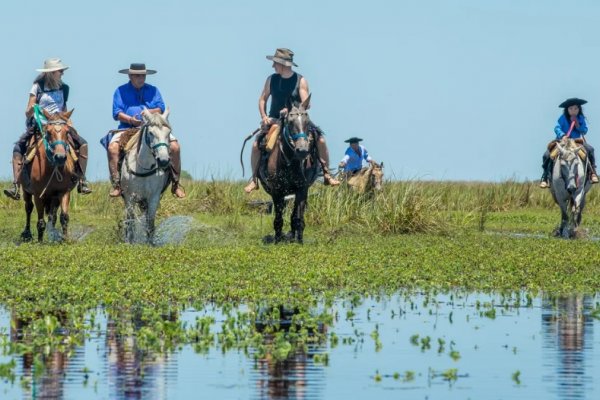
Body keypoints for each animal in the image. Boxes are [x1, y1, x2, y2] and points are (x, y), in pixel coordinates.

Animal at [19, 108, 78, 242]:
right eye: (49, 132)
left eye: (67, 132)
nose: (60, 157)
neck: (52, 168)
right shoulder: (38, 195)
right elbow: (41, 221)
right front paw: (40, 241)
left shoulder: (64, 192)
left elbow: (64, 217)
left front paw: (65, 239)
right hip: (26, 191)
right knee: (28, 208)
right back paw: (27, 234)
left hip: (53, 197)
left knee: (53, 216)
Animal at [119, 108, 171, 244]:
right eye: (151, 133)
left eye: (169, 133)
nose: (163, 161)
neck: (143, 167)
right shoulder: (129, 197)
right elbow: (131, 221)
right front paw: (129, 242)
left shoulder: (154, 197)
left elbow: (150, 223)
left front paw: (150, 244)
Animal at [255, 95, 318, 244]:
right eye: (290, 122)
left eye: (307, 122)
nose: (302, 150)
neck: (291, 162)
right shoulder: (277, 191)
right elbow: (278, 219)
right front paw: (277, 241)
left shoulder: (302, 190)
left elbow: (298, 217)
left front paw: (299, 241)